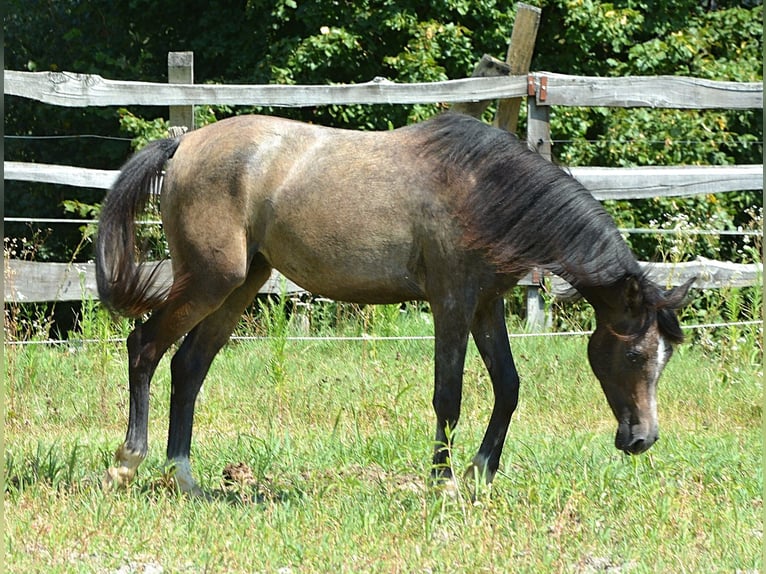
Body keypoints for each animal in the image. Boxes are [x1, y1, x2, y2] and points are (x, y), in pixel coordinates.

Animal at [96, 111, 696, 496]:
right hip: (210, 281)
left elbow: (508, 386)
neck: (487, 192)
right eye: (636, 354)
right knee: (144, 347)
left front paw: (479, 474)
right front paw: (442, 482)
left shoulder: (485, 306)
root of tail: (185, 144)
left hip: (240, 284)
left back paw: (185, 477)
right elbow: (448, 397)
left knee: (189, 366)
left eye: (666, 357)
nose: (642, 439)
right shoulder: (452, 303)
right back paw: (128, 463)